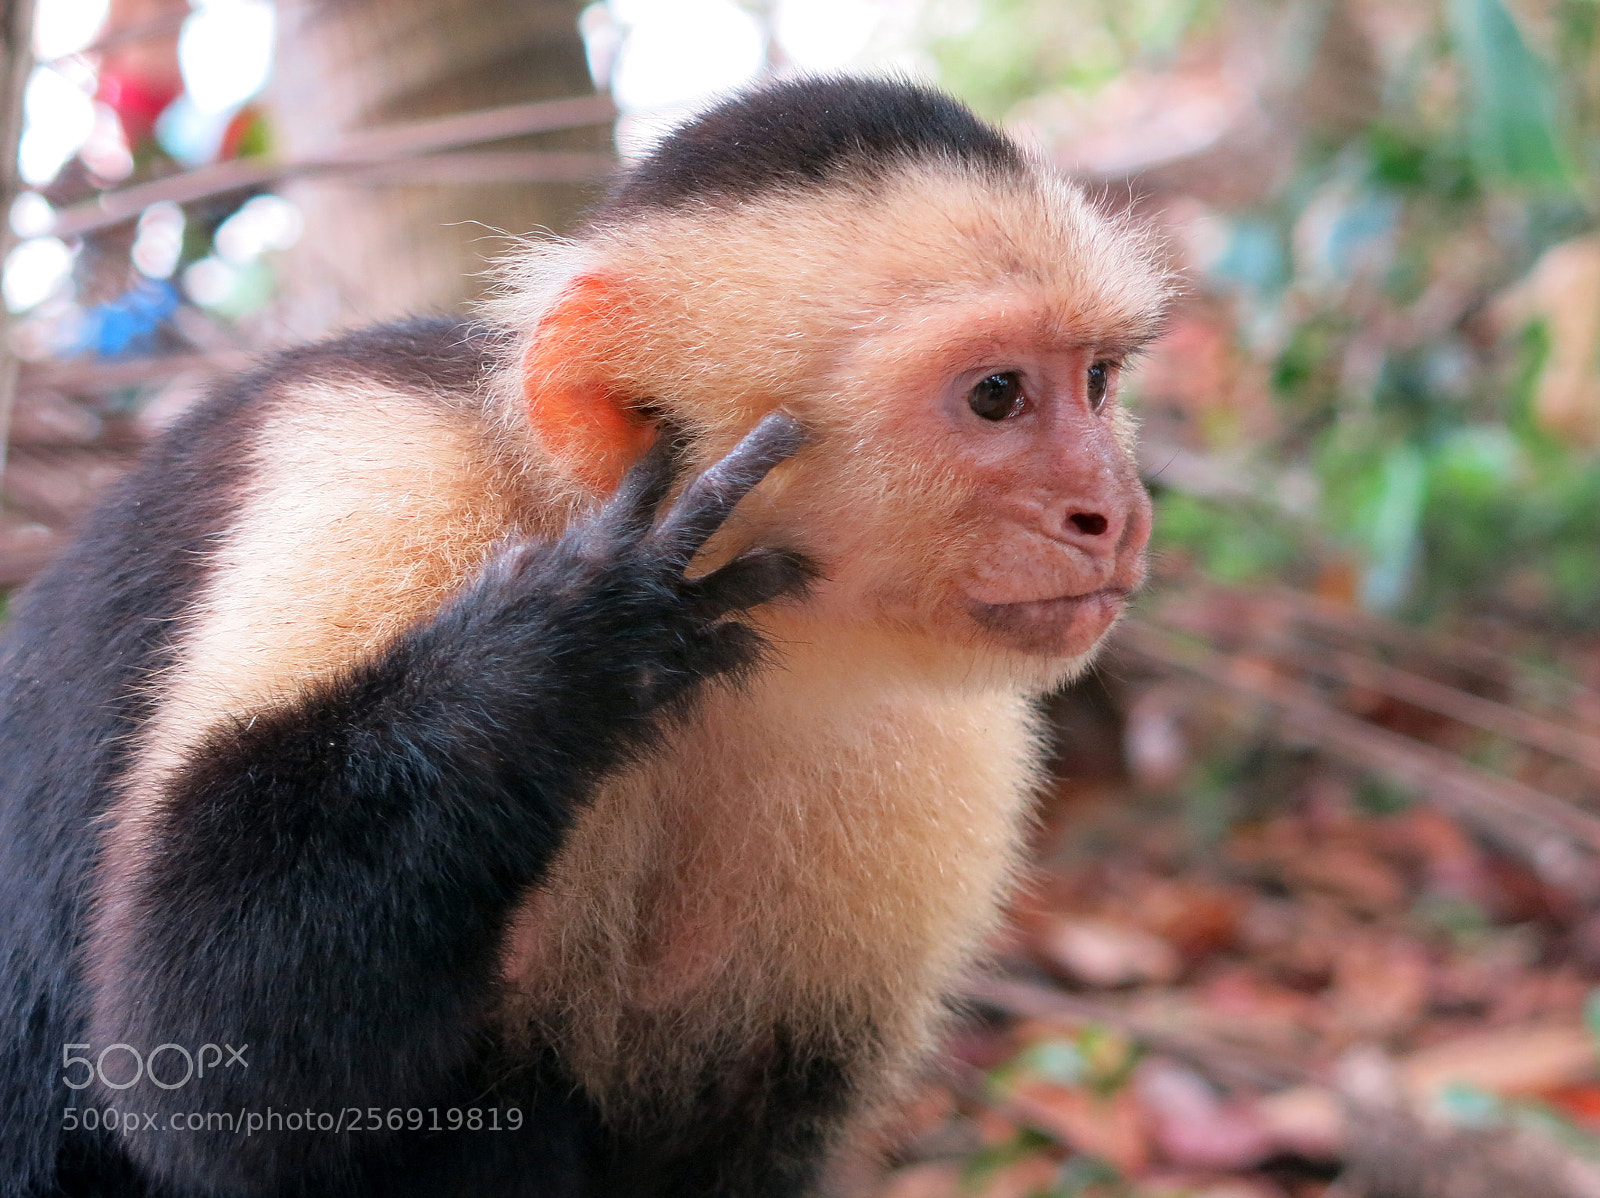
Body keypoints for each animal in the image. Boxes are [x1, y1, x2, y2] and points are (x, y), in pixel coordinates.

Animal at [0, 76, 1168, 1197]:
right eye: (996, 395)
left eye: (1097, 380)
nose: (1114, 512)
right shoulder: (385, 462)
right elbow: (200, 1064)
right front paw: (584, 642)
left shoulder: (944, 742)